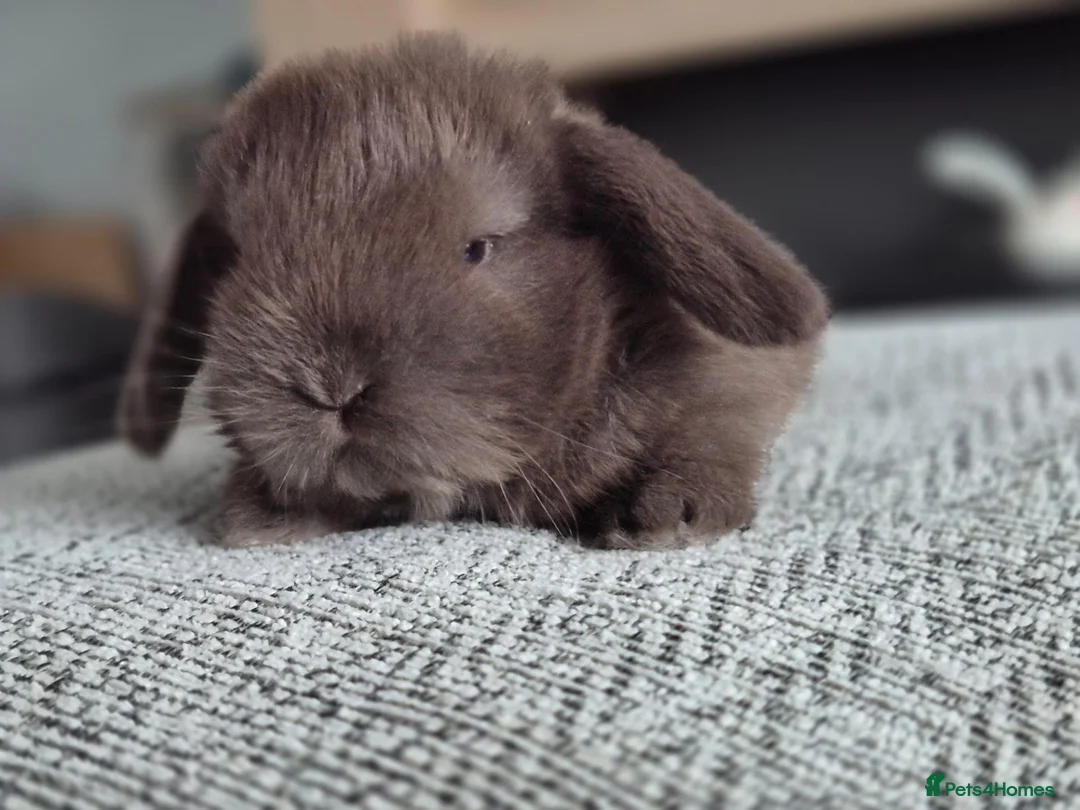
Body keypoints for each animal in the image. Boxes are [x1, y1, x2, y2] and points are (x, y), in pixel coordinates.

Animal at [117, 32, 829, 550]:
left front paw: (662, 514)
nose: (329, 387)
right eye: (236, 261)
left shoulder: (726, 384)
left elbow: (710, 429)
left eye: (478, 247)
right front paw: (259, 516)